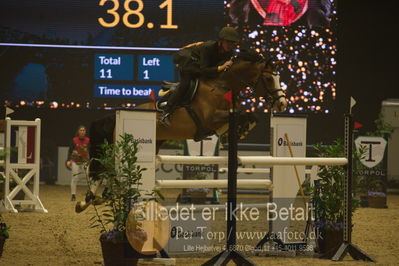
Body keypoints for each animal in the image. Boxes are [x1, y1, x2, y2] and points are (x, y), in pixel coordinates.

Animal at [76, 51, 288, 212]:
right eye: (268, 78)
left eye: (279, 77)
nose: (283, 104)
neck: (221, 85)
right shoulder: (210, 118)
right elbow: (244, 115)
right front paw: (241, 131)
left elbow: (249, 117)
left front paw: (237, 132)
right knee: (105, 169)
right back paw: (90, 199)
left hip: (154, 144)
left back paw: (94, 198)